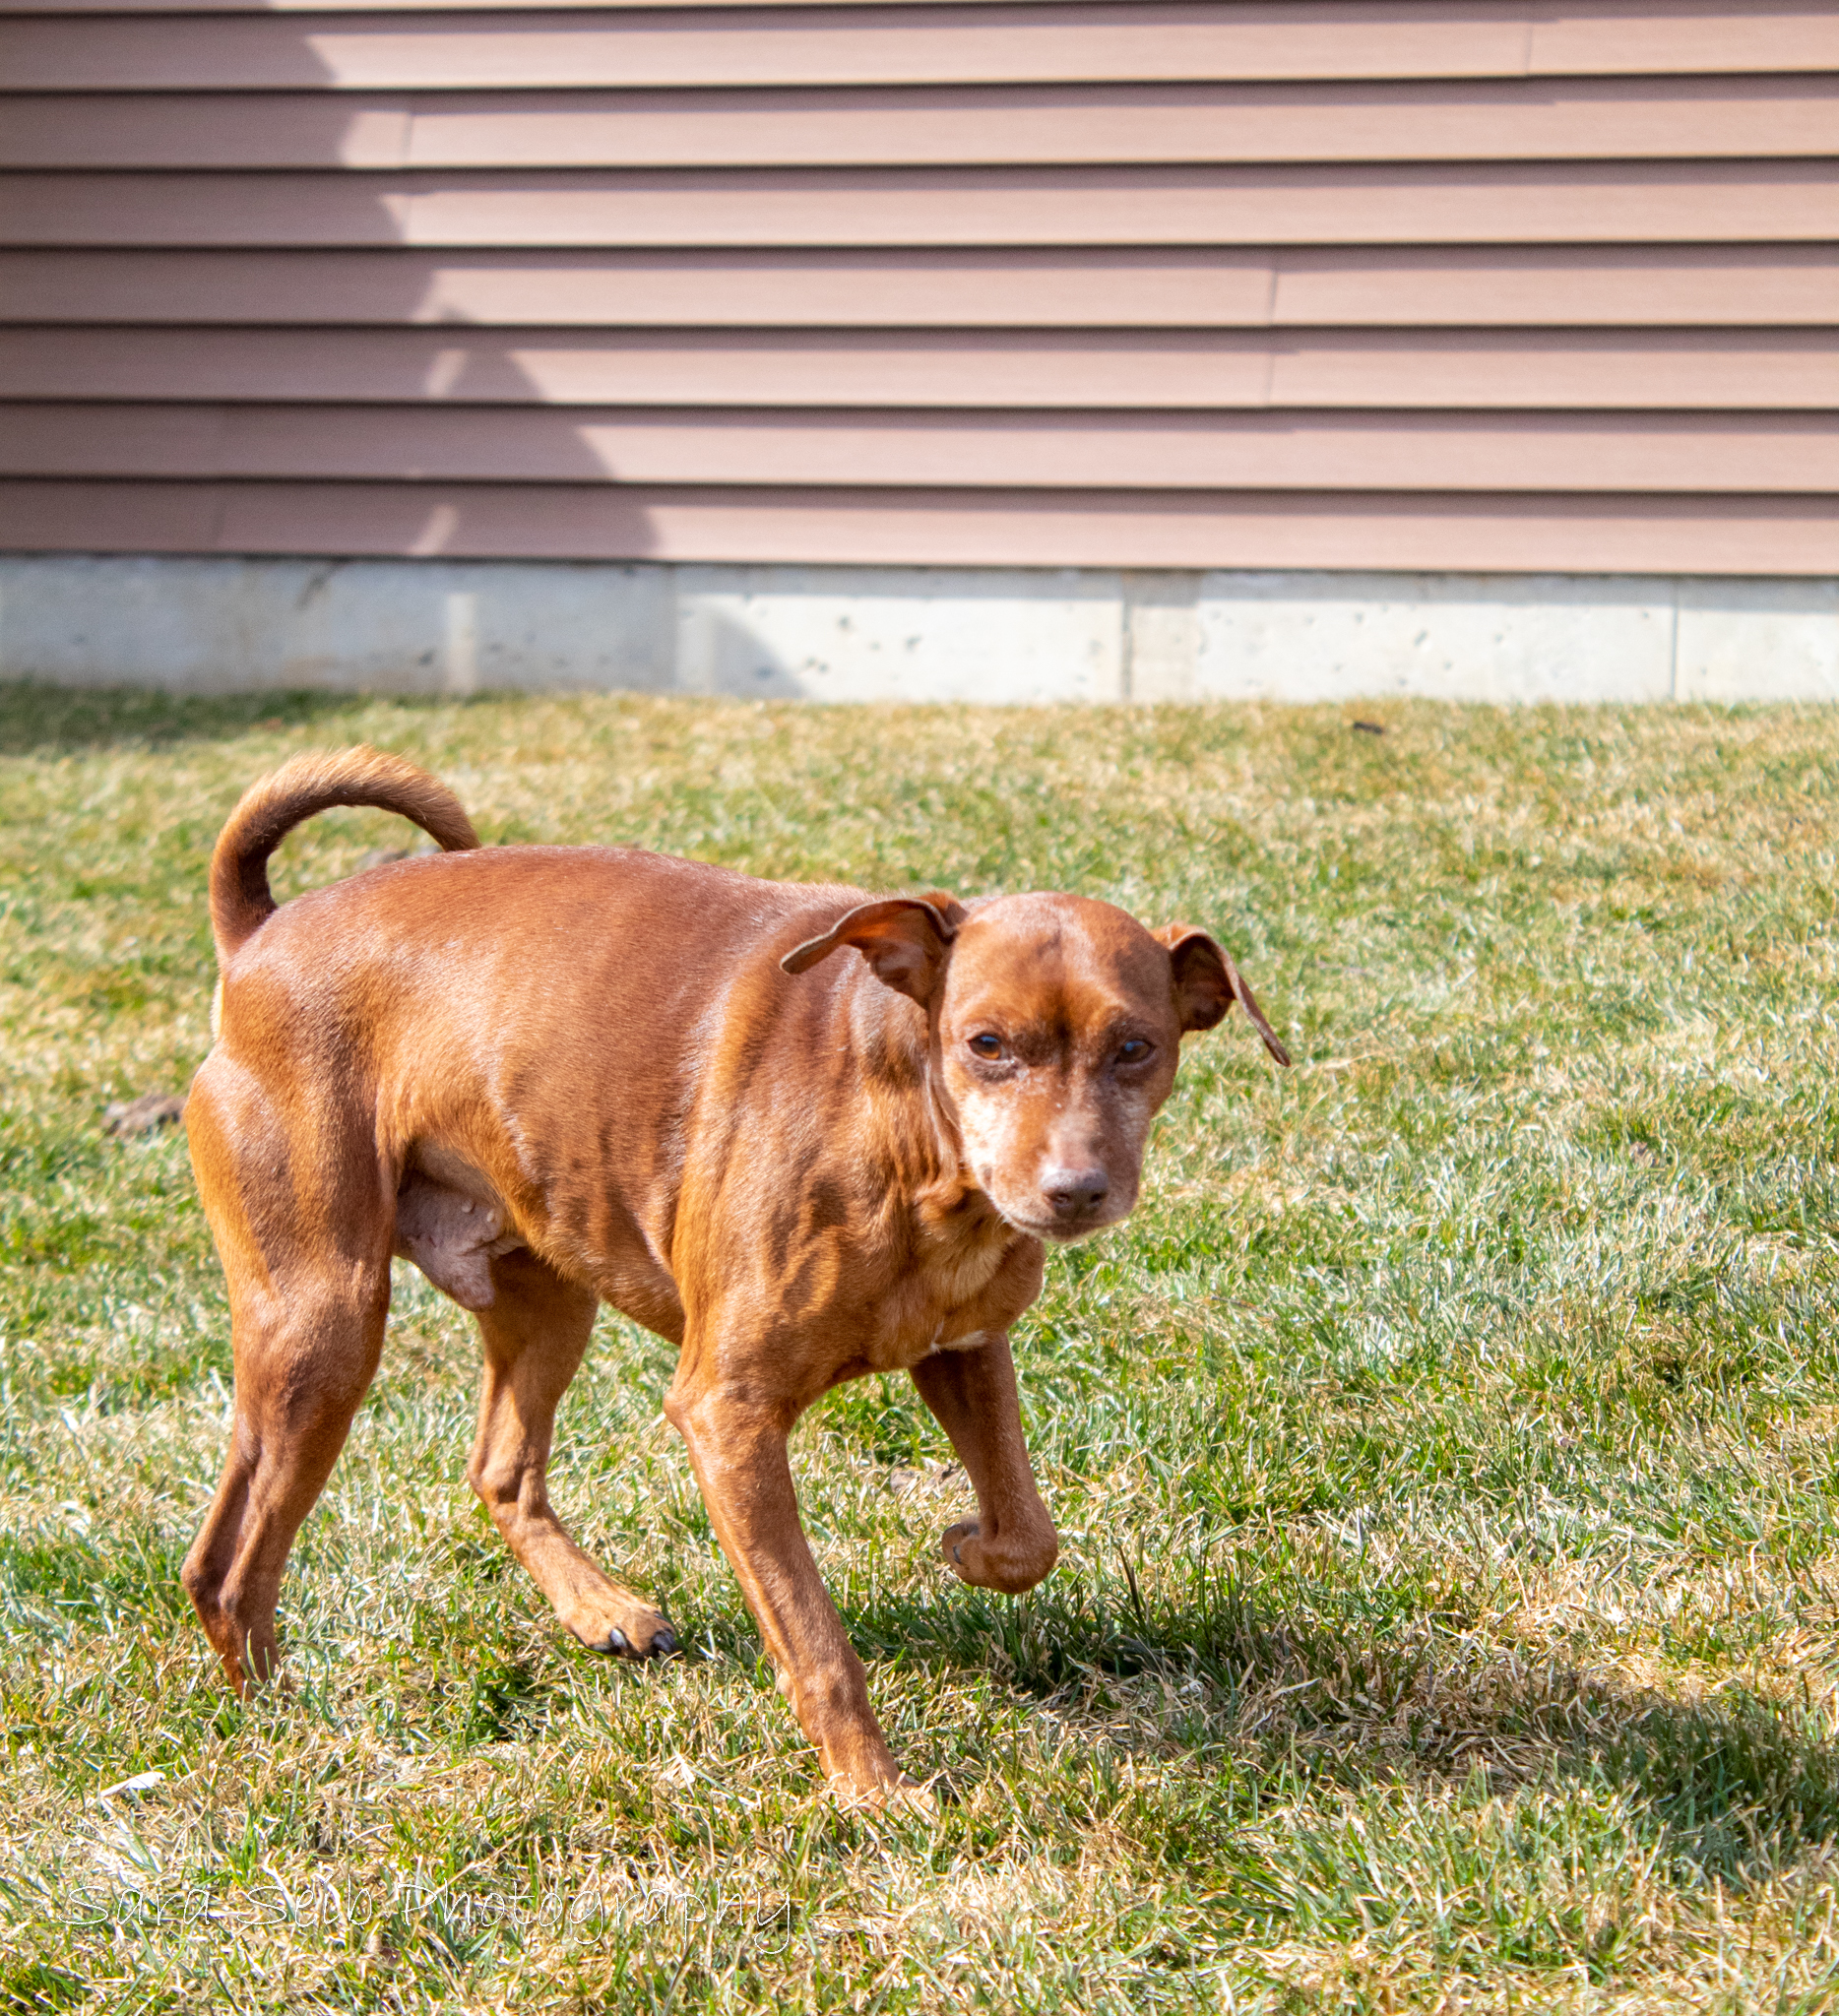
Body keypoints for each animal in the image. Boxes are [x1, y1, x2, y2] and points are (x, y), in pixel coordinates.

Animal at [179, 745, 1282, 1797]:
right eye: (985, 1044)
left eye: (1136, 1045)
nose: (1075, 1190)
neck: (904, 1140)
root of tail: (260, 935)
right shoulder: (729, 1415)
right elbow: (814, 1638)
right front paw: (876, 1793)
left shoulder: (963, 1349)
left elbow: (1027, 1535)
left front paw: (967, 1545)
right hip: (322, 1321)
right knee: (226, 1562)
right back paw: (288, 1726)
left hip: (546, 1296)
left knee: (497, 1468)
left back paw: (599, 1609)